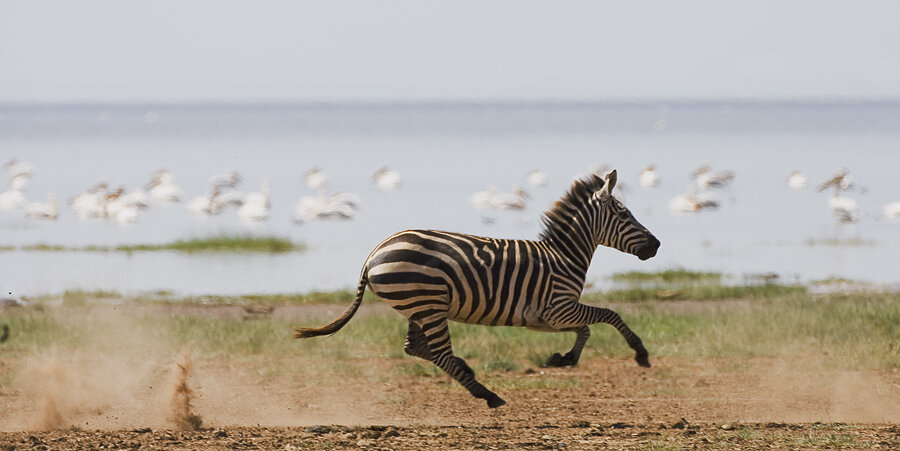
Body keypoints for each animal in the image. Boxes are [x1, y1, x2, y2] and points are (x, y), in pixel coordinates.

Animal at [296, 170, 660, 410]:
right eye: (625, 213)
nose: (656, 245)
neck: (563, 255)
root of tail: (374, 253)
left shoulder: (548, 316)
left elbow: (586, 328)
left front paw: (563, 359)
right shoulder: (558, 307)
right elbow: (609, 315)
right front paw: (640, 353)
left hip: (418, 306)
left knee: (416, 348)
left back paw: (469, 373)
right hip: (429, 304)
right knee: (438, 353)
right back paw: (489, 395)